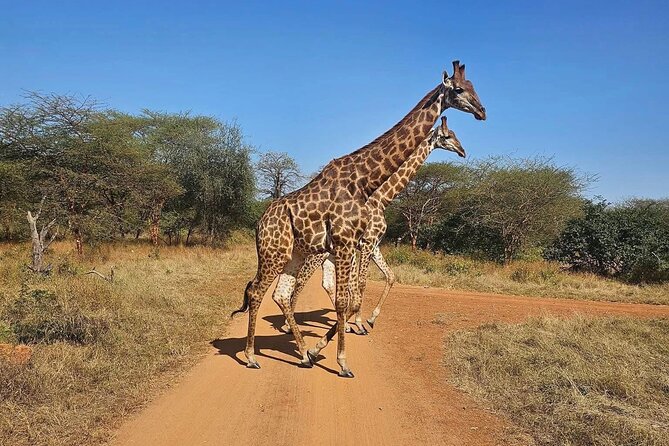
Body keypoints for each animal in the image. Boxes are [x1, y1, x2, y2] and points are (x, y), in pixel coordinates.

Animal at [284, 116, 464, 334]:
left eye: (455, 134)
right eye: (447, 136)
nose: (462, 151)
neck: (382, 199)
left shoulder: (374, 245)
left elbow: (389, 276)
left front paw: (369, 319)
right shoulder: (367, 243)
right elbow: (361, 283)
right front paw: (359, 324)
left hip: (329, 256)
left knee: (326, 283)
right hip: (316, 254)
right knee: (301, 279)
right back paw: (289, 325)